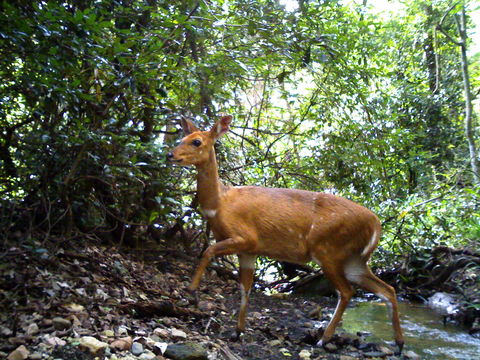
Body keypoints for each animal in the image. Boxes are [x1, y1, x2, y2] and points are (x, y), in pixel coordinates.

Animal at [167, 116, 404, 352]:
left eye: (196, 141)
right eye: (181, 137)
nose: (170, 154)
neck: (220, 204)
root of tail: (376, 224)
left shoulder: (245, 238)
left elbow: (208, 251)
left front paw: (191, 291)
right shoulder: (249, 251)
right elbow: (245, 289)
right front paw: (237, 331)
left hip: (329, 250)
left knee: (347, 292)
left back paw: (323, 339)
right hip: (354, 259)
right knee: (388, 289)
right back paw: (399, 343)